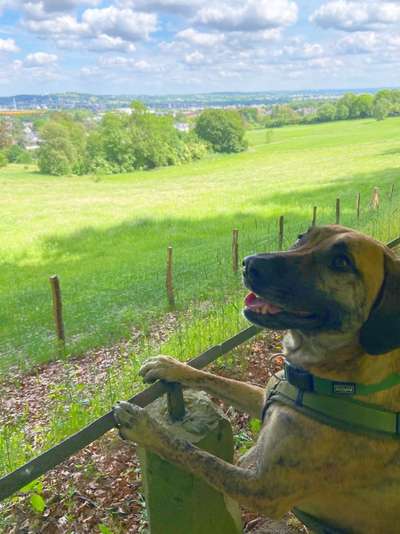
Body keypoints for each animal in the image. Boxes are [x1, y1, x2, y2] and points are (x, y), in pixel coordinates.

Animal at [112, 226, 400, 534]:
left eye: (341, 262)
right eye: (301, 237)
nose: (248, 263)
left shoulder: (261, 490)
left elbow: (191, 453)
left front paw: (143, 427)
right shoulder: (264, 395)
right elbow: (214, 379)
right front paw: (169, 366)